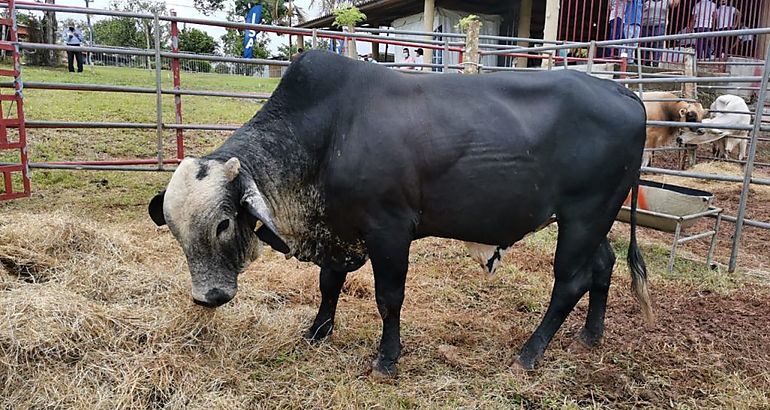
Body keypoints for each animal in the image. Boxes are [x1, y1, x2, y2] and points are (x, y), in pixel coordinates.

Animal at [148, 51, 648, 374]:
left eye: (223, 223)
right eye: (173, 230)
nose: (206, 297)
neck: (328, 132)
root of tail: (623, 92)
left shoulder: (389, 229)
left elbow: (388, 298)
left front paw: (387, 358)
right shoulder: (339, 227)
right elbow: (328, 284)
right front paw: (317, 332)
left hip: (583, 216)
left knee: (569, 283)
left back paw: (529, 353)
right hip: (593, 219)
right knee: (603, 266)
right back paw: (591, 335)